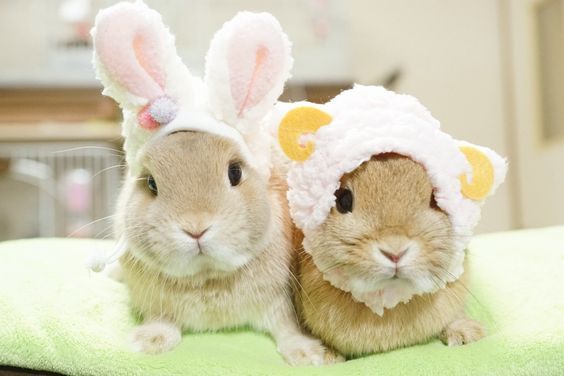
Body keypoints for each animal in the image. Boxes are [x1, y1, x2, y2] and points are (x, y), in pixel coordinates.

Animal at [89, 0, 340, 364]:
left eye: (235, 173)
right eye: (151, 184)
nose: (196, 228)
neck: (207, 277)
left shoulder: (279, 299)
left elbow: (287, 326)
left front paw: (309, 354)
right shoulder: (155, 303)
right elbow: (160, 318)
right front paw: (148, 342)